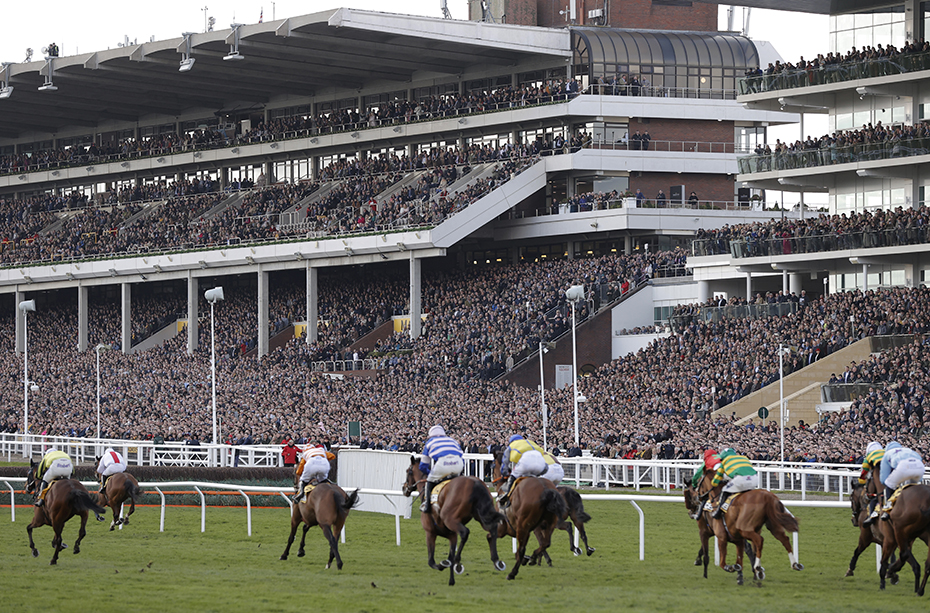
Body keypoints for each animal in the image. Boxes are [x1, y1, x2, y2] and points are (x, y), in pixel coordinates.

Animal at [402, 454, 508, 584]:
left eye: (408, 471)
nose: (404, 488)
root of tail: (475, 483)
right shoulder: (452, 535)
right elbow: (449, 555)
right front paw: (451, 579)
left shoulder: (430, 532)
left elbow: (432, 561)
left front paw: (445, 564)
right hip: (483, 515)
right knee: (492, 529)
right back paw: (496, 561)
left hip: (450, 519)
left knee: (465, 532)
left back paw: (458, 562)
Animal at [490, 450, 568, 580]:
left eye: (492, 467)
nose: (493, 482)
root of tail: (546, 490)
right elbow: (541, 542)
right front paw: (537, 559)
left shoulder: (507, 526)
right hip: (549, 522)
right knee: (546, 542)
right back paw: (532, 557)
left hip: (524, 525)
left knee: (524, 548)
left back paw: (513, 572)